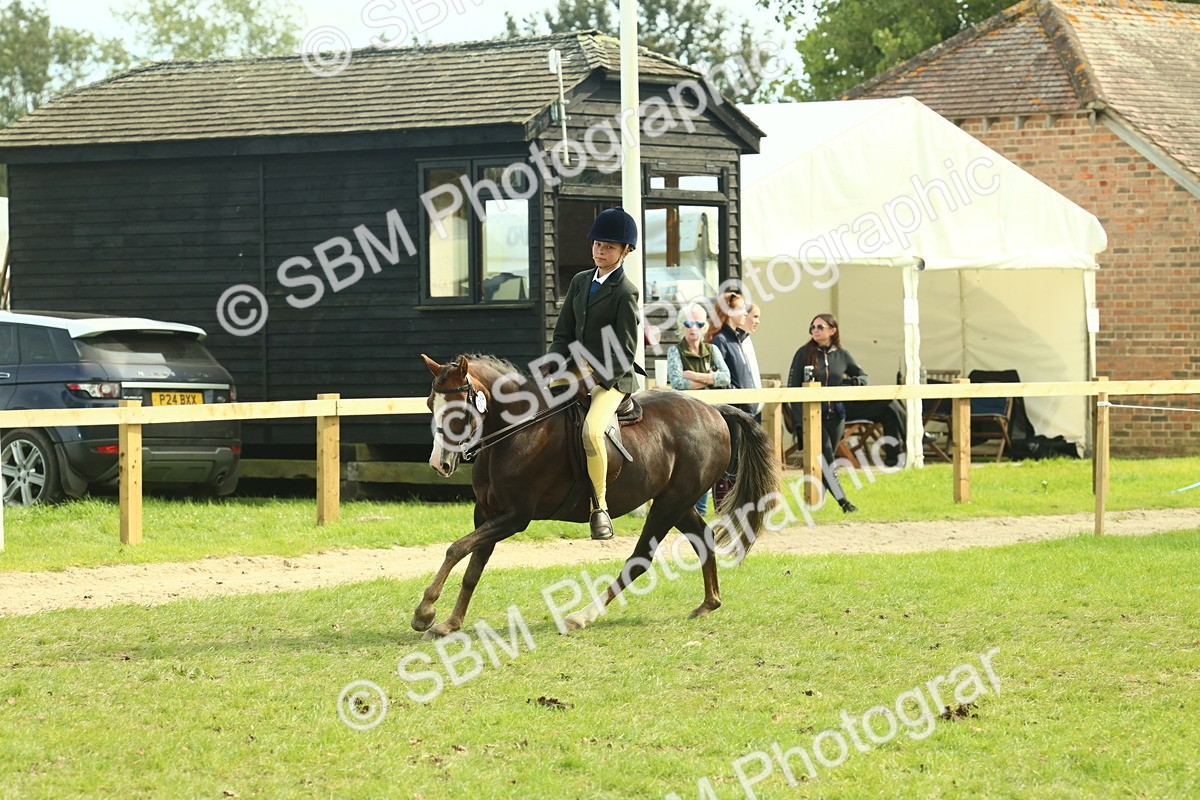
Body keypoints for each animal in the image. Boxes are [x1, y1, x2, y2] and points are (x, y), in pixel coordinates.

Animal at [414, 353, 781, 638]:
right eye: (432, 404)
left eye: (458, 411)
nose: (438, 463)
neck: (517, 432)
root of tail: (714, 411)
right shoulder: (487, 512)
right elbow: (472, 564)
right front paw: (450, 622)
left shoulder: (515, 517)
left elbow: (456, 548)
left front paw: (425, 611)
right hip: (678, 502)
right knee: (702, 538)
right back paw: (708, 603)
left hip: (669, 505)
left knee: (640, 559)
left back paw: (582, 616)